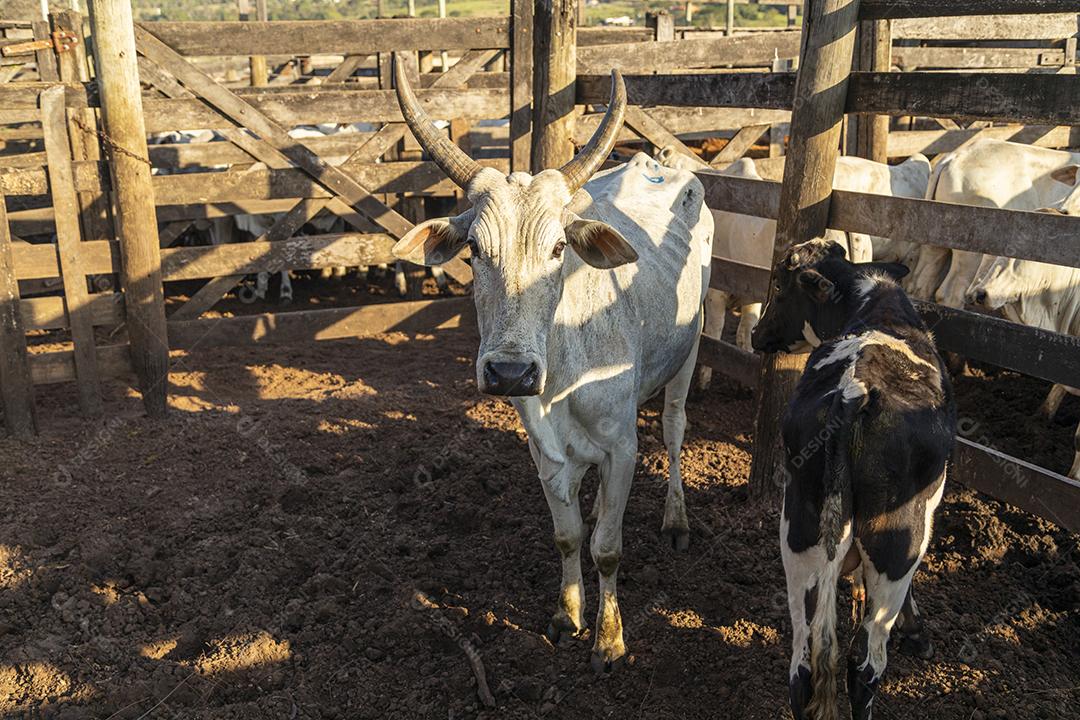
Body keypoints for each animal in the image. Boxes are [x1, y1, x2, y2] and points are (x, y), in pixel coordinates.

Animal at [390, 62, 713, 671]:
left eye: (560, 248)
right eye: (473, 250)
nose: (510, 373)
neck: (563, 377)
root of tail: (657, 162)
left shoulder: (622, 449)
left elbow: (607, 548)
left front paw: (609, 640)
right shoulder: (544, 452)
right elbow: (567, 536)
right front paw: (568, 615)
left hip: (692, 344)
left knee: (675, 427)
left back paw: (677, 519)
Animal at [751, 239, 956, 720]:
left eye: (779, 287)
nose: (755, 335)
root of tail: (852, 392)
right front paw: (918, 634)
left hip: (799, 537)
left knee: (803, 667)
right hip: (896, 542)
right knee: (864, 665)